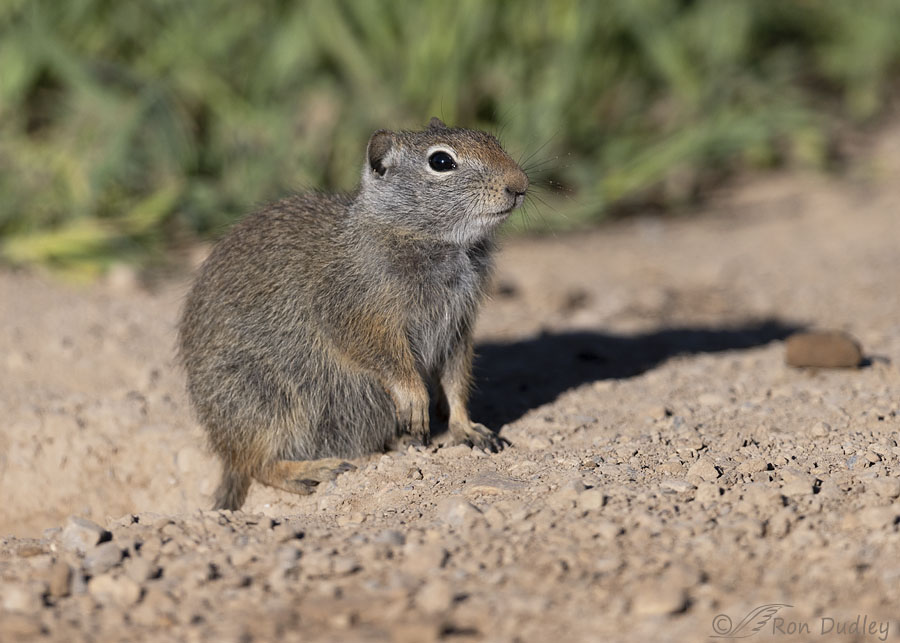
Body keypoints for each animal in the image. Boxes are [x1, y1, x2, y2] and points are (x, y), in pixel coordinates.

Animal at [178, 117, 529, 510]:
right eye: (441, 162)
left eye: (491, 139)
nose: (519, 184)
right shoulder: (357, 318)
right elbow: (391, 363)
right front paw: (415, 399)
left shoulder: (457, 331)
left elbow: (456, 385)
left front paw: (468, 430)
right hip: (263, 401)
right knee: (258, 465)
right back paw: (315, 470)